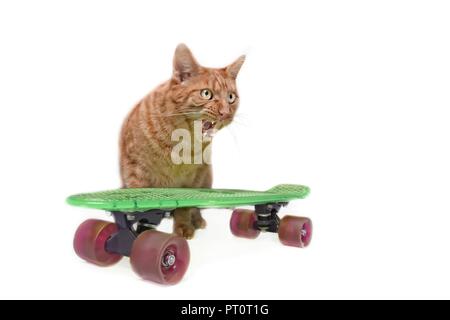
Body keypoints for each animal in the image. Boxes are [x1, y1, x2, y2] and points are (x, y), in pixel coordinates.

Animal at [119, 43, 244, 239]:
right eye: (206, 93)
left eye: (231, 97)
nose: (225, 113)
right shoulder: (135, 172)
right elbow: (142, 208)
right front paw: (142, 231)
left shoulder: (193, 179)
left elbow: (185, 207)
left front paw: (184, 227)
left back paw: (197, 220)